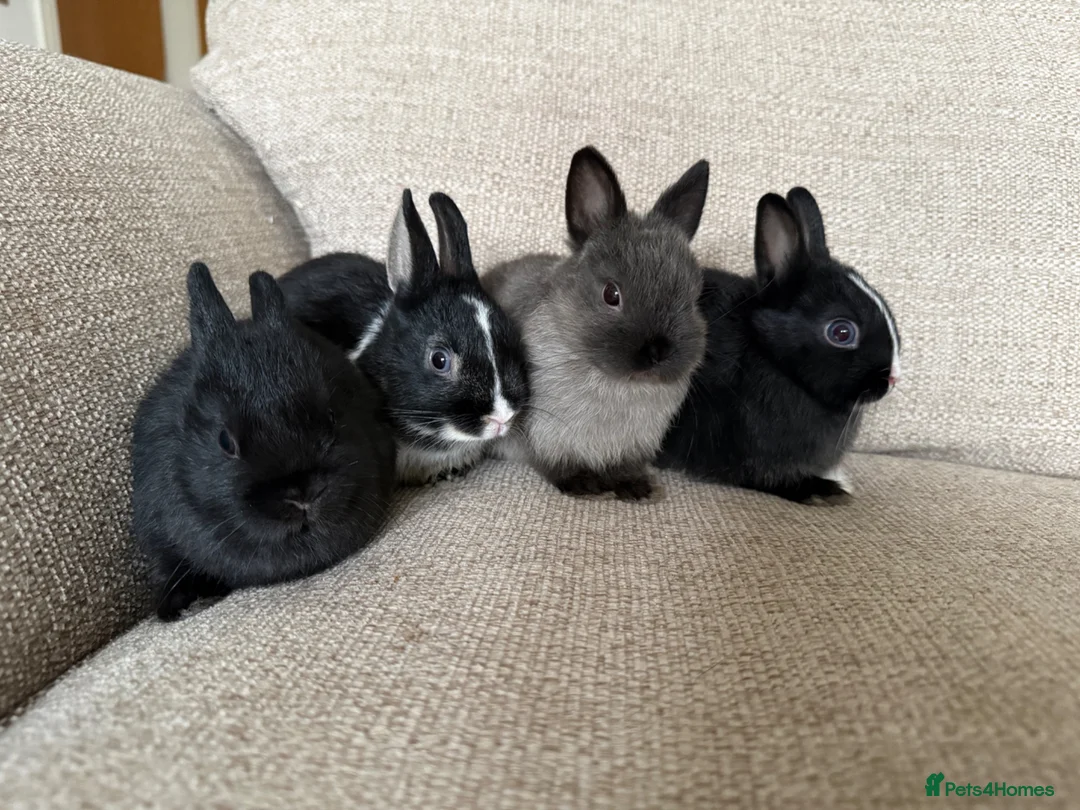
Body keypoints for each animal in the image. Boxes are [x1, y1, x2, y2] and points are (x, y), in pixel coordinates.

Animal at [483, 146, 709, 500]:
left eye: (693, 298)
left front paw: (635, 488)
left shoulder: (634, 444)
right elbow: (556, 465)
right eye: (611, 294)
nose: (657, 352)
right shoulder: (545, 436)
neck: (620, 386)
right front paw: (583, 485)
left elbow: (625, 467)